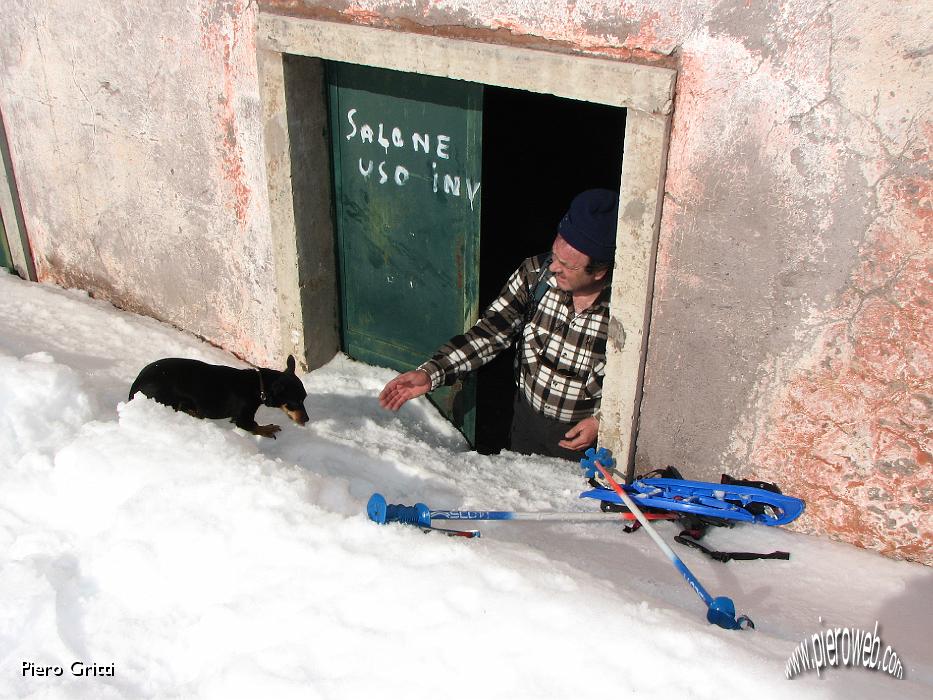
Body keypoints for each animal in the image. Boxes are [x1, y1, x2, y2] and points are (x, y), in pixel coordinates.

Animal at [129, 356, 310, 438]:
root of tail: (135, 387)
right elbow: (253, 426)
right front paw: (267, 429)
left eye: (304, 399)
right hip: (169, 400)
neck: (258, 385)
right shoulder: (242, 417)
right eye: (296, 402)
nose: (307, 419)